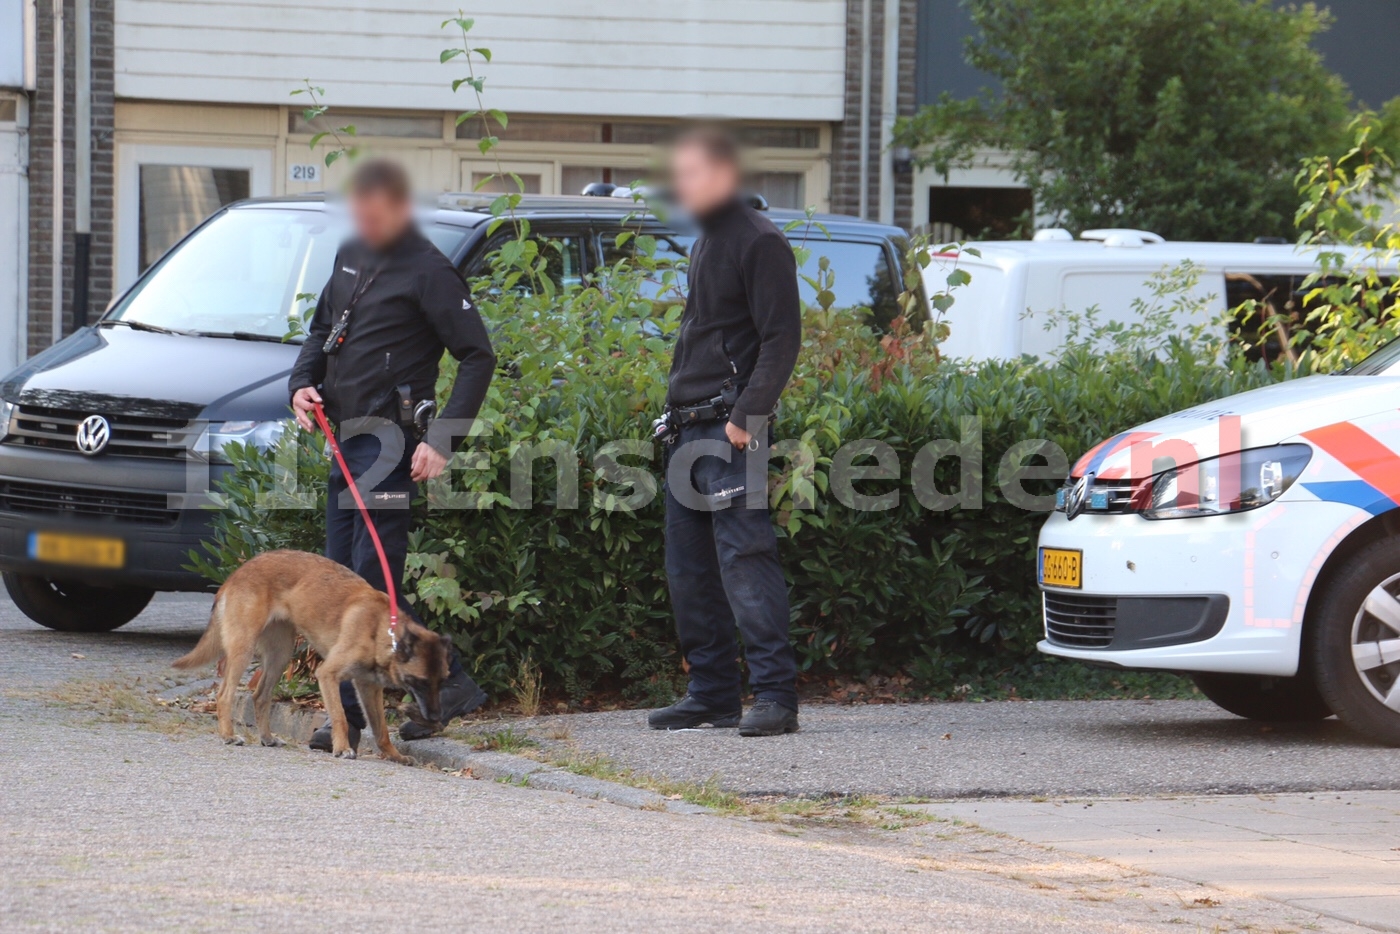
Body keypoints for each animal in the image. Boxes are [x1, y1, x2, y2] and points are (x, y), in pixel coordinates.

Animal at [173, 551, 448, 761]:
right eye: (422, 682)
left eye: (441, 682)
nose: (436, 718)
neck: (381, 629)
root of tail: (237, 573)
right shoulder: (327, 675)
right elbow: (340, 717)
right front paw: (342, 748)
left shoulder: (368, 687)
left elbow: (381, 730)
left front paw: (394, 756)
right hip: (244, 649)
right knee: (224, 695)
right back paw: (228, 735)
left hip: (280, 655)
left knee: (260, 696)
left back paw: (267, 738)